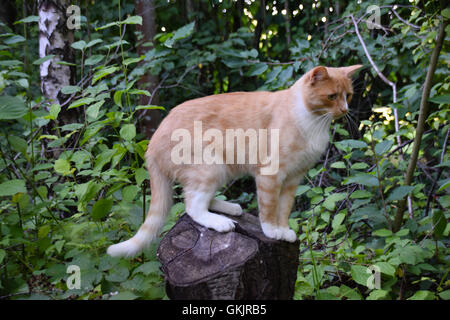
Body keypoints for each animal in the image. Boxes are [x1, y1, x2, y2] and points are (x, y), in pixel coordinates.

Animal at [108, 64, 362, 258]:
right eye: (331, 96)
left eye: (348, 96)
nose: (345, 110)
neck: (313, 123)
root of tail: (151, 144)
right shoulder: (271, 175)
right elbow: (269, 207)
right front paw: (272, 231)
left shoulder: (293, 179)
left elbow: (284, 208)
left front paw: (284, 230)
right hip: (210, 167)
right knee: (192, 206)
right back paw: (220, 222)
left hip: (220, 171)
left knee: (200, 199)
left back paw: (229, 208)